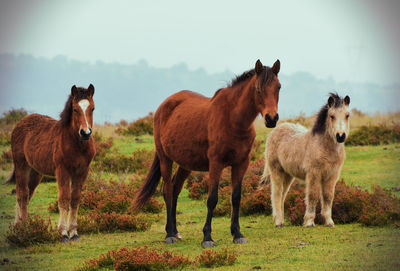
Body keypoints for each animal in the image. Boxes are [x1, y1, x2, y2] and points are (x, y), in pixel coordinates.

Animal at [7, 84, 96, 242]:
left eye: (92, 108)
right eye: (75, 109)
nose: (85, 133)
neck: (77, 144)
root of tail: (21, 122)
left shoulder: (82, 171)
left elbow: (75, 199)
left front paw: (74, 233)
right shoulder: (62, 170)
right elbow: (64, 199)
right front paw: (63, 233)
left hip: (35, 172)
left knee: (27, 194)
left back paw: (19, 226)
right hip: (21, 165)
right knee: (22, 194)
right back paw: (24, 228)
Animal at [134, 59, 282, 249]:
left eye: (278, 87)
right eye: (258, 89)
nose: (271, 119)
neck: (232, 119)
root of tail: (164, 105)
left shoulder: (241, 164)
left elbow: (236, 197)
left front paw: (237, 234)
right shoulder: (216, 164)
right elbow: (212, 199)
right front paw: (207, 237)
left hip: (185, 164)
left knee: (175, 189)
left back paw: (175, 231)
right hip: (165, 159)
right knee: (167, 190)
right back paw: (169, 234)